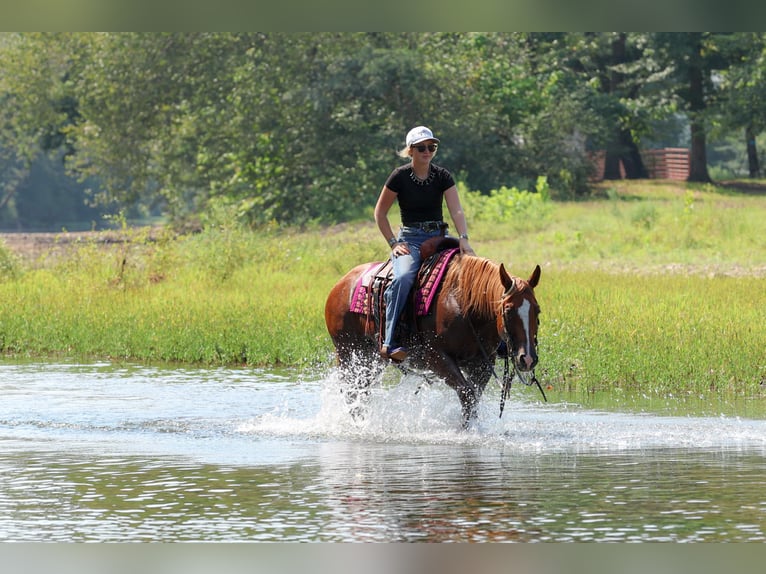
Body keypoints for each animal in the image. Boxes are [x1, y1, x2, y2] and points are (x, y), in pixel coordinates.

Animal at [324, 237, 541, 428]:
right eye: (508, 310)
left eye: (537, 310)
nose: (528, 358)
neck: (463, 304)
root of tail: (340, 285)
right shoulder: (437, 358)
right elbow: (467, 394)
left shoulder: (481, 363)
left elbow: (474, 398)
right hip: (348, 353)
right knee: (352, 391)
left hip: (371, 359)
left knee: (363, 391)